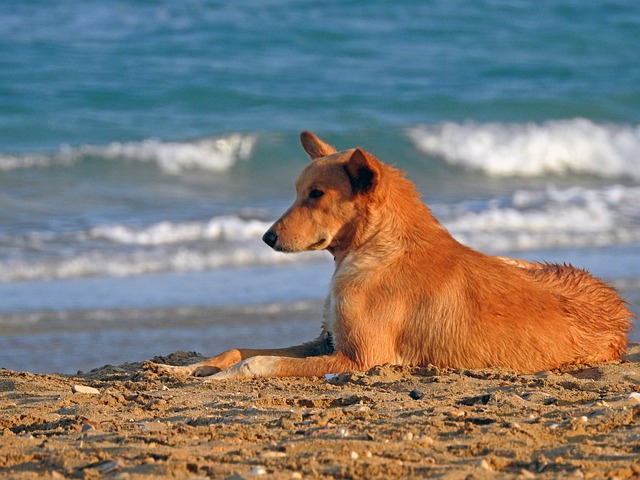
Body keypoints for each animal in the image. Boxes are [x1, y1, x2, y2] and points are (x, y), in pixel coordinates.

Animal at [148, 130, 632, 378]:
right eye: (298, 191)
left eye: (316, 194)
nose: (267, 238)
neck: (375, 250)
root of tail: (621, 311)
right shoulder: (326, 340)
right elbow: (237, 350)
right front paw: (188, 369)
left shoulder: (359, 358)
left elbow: (256, 364)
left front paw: (211, 378)